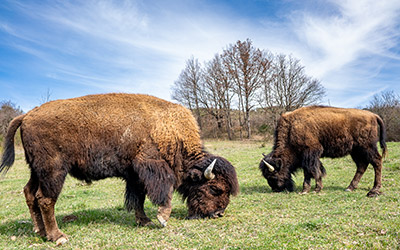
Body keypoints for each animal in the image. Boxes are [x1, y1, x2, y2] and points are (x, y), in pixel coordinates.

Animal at [0, 93, 238, 244]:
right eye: (215, 189)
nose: (218, 214)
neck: (169, 132)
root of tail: (27, 115)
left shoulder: (134, 175)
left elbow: (138, 198)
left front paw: (144, 221)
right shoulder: (152, 168)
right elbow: (164, 191)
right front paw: (162, 218)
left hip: (36, 170)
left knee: (29, 193)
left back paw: (40, 231)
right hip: (53, 171)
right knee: (45, 199)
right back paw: (58, 237)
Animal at [260, 105, 388, 197]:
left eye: (272, 176)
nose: (276, 189)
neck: (292, 127)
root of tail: (373, 115)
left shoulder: (310, 153)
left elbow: (311, 171)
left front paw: (310, 190)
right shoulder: (308, 156)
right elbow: (315, 171)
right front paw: (312, 189)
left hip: (367, 147)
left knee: (377, 161)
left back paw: (374, 189)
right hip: (356, 151)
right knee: (362, 166)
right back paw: (349, 188)